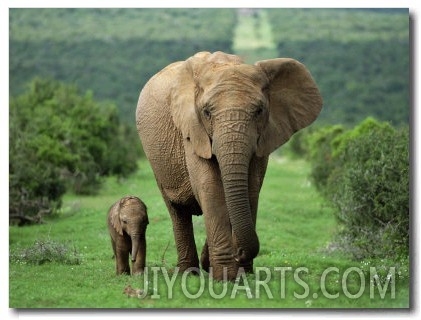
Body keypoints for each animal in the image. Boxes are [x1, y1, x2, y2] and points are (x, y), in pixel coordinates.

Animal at [135, 50, 322, 280]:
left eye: (259, 110)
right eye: (206, 112)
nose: (239, 252)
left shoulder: (263, 137)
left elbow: (251, 188)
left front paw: (243, 274)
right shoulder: (193, 131)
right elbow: (211, 188)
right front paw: (226, 277)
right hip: (157, 163)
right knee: (177, 211)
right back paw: (188, 273)